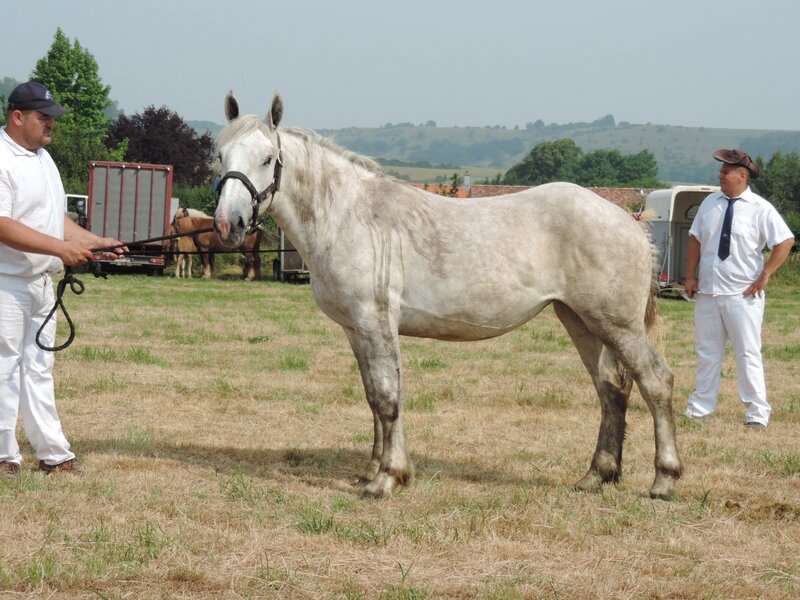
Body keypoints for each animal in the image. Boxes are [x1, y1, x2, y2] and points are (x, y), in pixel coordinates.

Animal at [212, 92, 680, 496]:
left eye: (268, 158)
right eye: (221, 155)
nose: (228, 224)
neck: (350, 216)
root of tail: (630, 220)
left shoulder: (374, 321)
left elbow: (388, 396)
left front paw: (388, 479)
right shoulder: (356, 329)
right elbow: (374, 396)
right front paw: (374, 470)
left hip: (617, 325)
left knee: (655, 382)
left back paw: (664, 480)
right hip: (580, 321)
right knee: (611, 390)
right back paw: (596, 475)